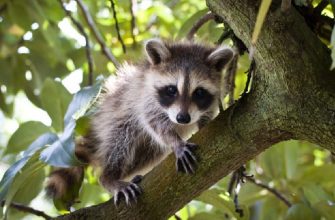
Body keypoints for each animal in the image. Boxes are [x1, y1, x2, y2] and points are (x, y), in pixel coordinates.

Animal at [46, 39, 235, 206]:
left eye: (199, 92)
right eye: (171, 90)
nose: (183, 118)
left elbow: (205, 117)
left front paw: (202, 124)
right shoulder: (145, 99)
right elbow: (154, 122)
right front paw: (176, 142)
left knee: (148, 155)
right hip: (113, 120)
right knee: (120, 140)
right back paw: (109, 177)